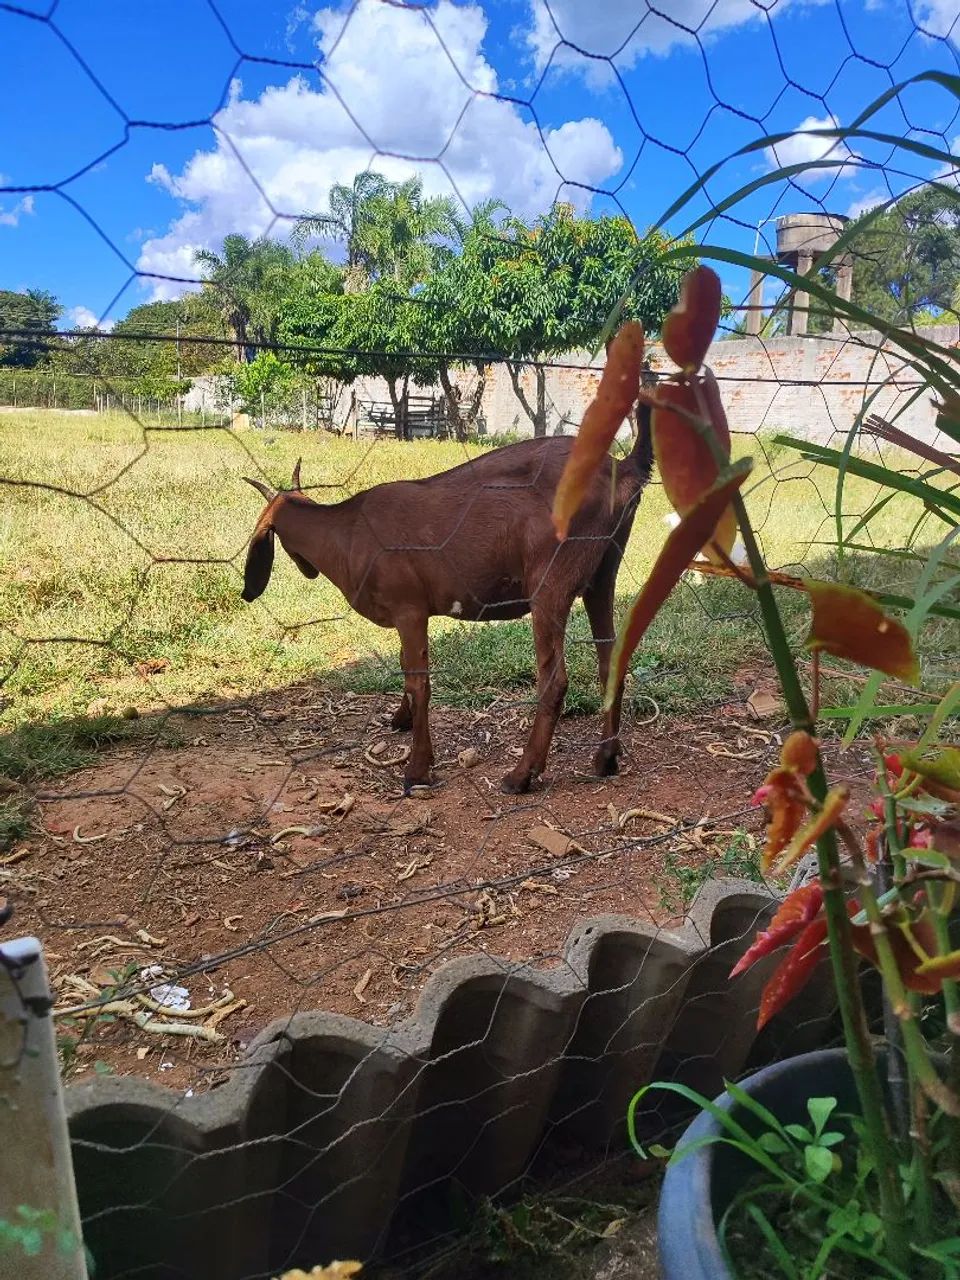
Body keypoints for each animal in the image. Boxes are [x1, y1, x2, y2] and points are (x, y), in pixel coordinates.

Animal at [240, 411, 653, 795]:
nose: (305, 569)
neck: (348, 530)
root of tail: (621, 469)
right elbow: (405, 666)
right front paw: (400, 719)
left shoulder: (409, 608)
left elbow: (418, 681)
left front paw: (417, 769)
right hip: (603, 575)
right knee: (610, 661)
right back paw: (606, 758)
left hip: (550, 584)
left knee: (554, 681)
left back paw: (520, 775)